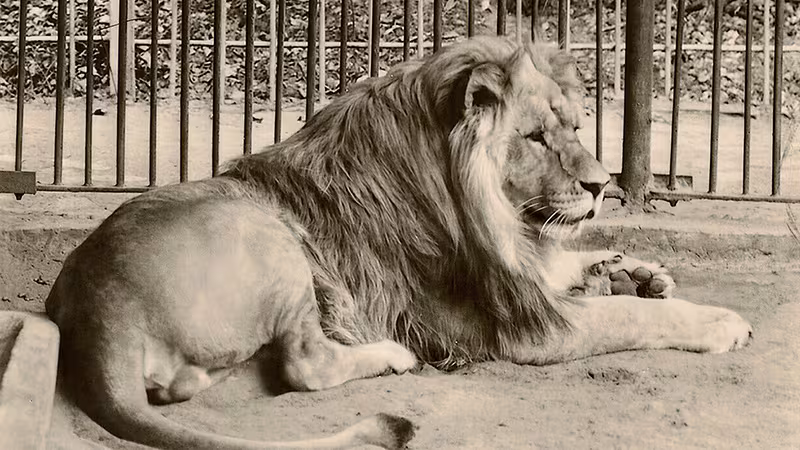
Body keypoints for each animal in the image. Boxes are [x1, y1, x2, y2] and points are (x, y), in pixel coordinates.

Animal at [45, 36, 752, 449]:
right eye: (535, 138)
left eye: (575, 127)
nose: (604, 185)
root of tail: (99, 313)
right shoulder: (521, 331)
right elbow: (629, 316)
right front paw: (716, 320)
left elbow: (570, 266)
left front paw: (637, 270)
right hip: (276, 242)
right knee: (305, 364)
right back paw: (392, 356)